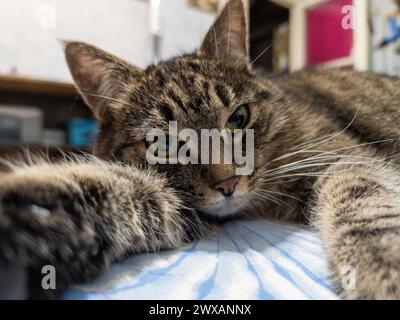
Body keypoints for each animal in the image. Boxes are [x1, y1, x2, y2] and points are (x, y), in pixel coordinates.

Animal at [0, 0, 400, 300]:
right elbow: (113, 189)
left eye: (238, 118)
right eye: (164, 144)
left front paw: (382, 267)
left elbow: (364, 207)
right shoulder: (180, 204)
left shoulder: (342, 157)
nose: (228, 184)